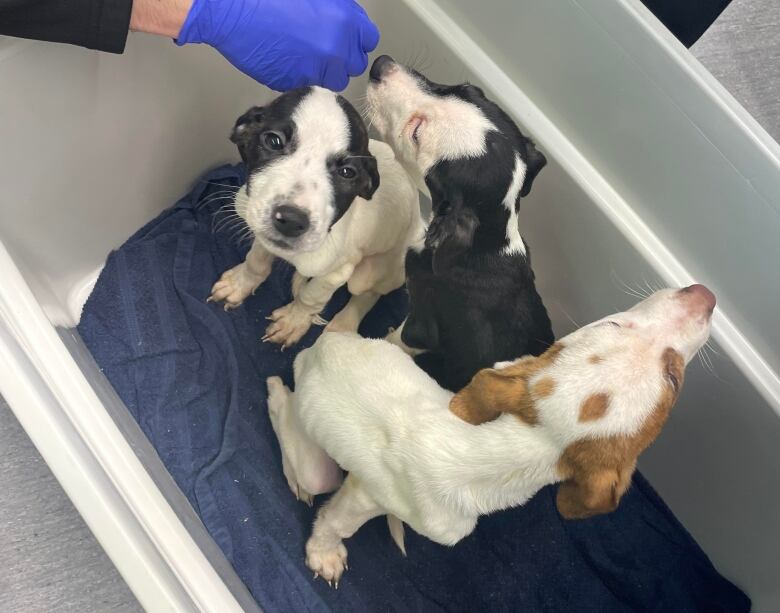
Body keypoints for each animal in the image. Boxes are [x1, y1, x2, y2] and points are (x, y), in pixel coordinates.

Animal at [210, 85, 424, 344]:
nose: (291, 221)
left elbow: (310, 297)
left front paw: (293, 322)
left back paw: (342, 326)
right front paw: (240, 284)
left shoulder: (336, 272)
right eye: (273, 141)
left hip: (374, 273)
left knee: (367, 294)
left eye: (347, 172)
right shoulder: (263, 233)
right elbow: (255, 262)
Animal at [270, 286, 720, 584]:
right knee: (289, 423)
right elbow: (336, 523)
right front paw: (324, 552)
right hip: (314, 456)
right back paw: (278, 396)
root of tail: (316, 352)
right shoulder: (364, 495)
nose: (706, 293)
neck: (483, 453)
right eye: (673, 378)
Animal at [366, 58, 556, 392]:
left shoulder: (421, 323)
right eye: (467, 88)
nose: (380, 65)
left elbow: (399, 338)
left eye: (416, 132)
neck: (486, 244)